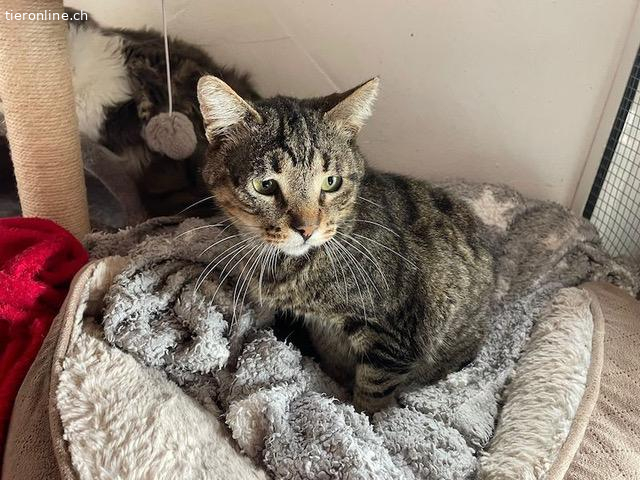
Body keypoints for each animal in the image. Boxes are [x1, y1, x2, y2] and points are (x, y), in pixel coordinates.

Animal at [196, 75, 496, 413]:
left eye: (331, 182)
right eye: (265, 185)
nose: (307, 229)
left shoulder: (391, 337)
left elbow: (373, 393)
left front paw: (364, 417)